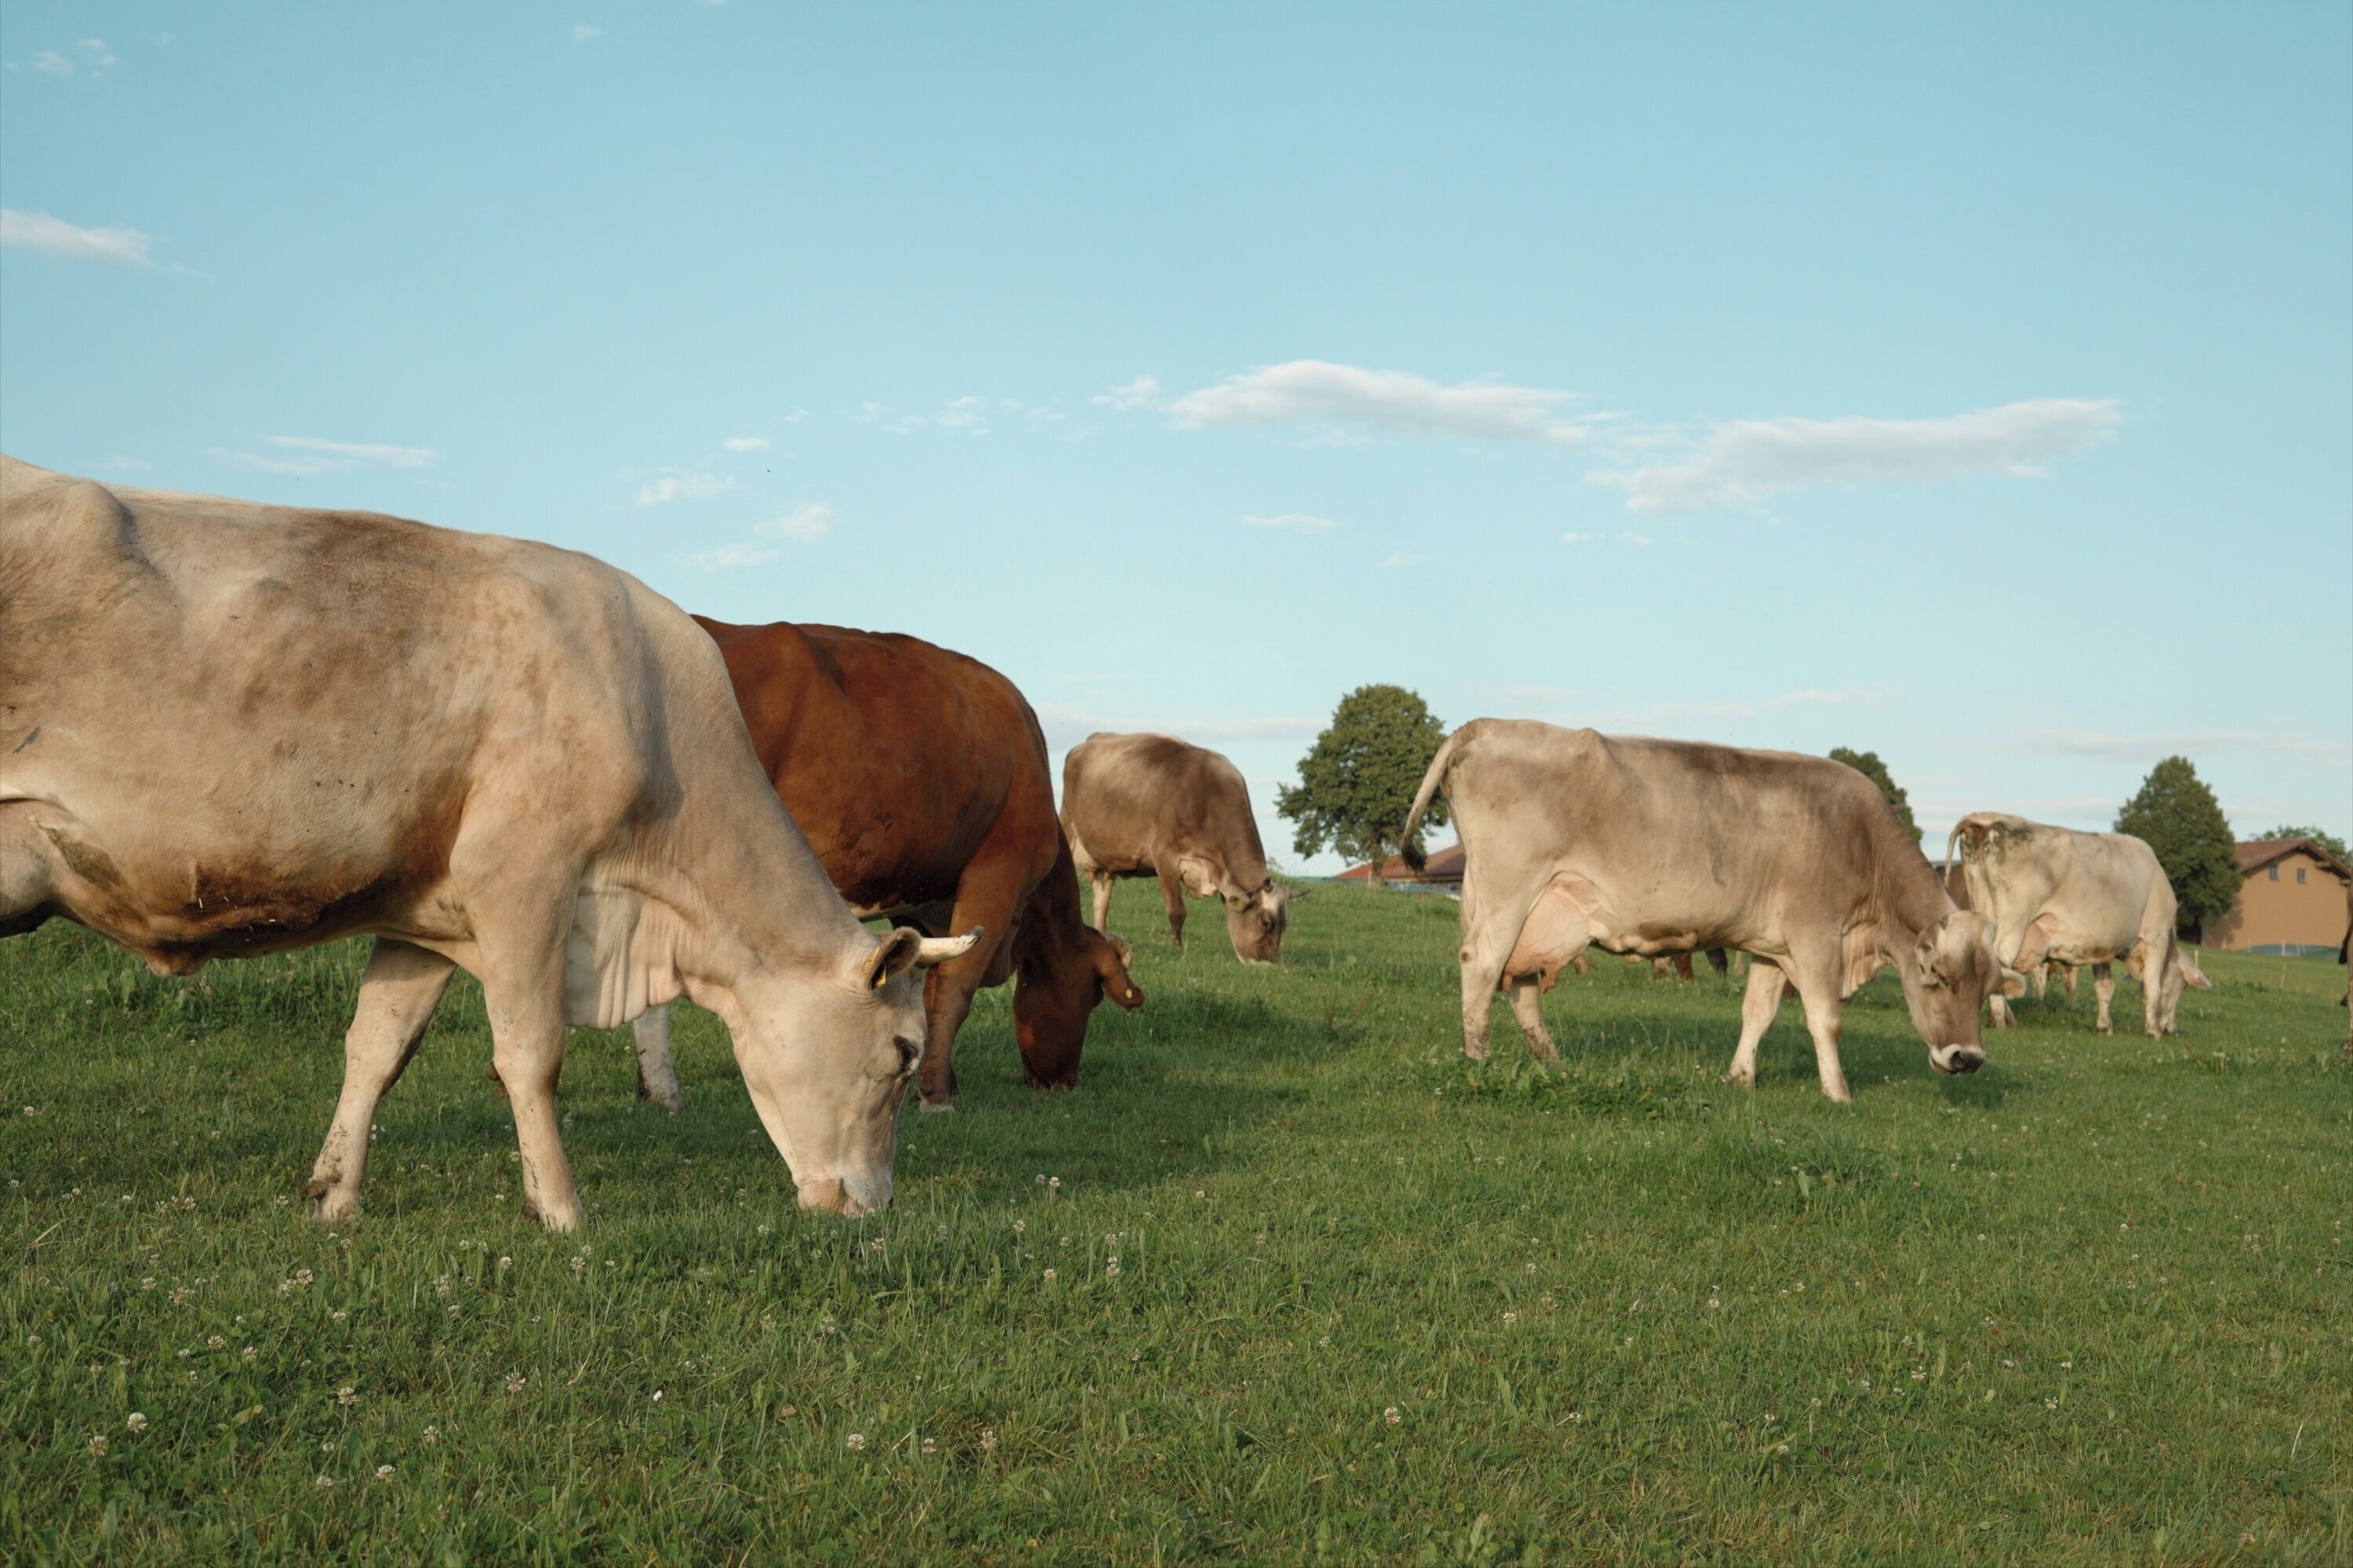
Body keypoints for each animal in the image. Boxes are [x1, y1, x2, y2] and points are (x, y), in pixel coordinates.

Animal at [0, 458, 976, 1229]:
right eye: (902, 1052)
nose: (875, 1207)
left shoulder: (424, 904)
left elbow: (378, 1046)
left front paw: (334, 1196)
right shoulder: (523, 876)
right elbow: (530, 1052)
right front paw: (562, 1211)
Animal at [627, 622, 1144, 1112]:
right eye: (1094, 995)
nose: (1063, 1081)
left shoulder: (918, 901)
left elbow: (926, 986)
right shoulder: (1000, 872)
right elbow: (955, 987)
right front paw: (936, 1094)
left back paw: (657, 1092)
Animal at [1060, 732, 1299, 965]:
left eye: (1286, 925)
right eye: (1265, 922)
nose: (1268, 963)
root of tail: (1086, 743)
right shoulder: (1165, 856)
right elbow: (1177, 912)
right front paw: (1177, 948)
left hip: (1107, 863)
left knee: (1102, 901)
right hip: (1068, 828)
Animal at [1401, 720, 2022, 1100]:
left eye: (1989, 985)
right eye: (1938, 979)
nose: (1968, 1058)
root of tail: (1490, 724)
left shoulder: (1773, 946)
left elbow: (1758, 1012)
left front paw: (1740, 1077)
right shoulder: (1816, 934)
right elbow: (1825, 1018)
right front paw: (1838, 1092)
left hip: (1538, 910)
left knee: (1521, 984)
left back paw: (1551, 1061)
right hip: (1510, 892)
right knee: (1482, 965)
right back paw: (1477, 1059)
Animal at [1944, 813, 2213, 1037]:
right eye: (2183, 987)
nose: (2171, 1029)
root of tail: (1994, 818)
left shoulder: (2103, 945)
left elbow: (2105, 988)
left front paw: (2105, 1026)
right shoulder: (2155, 938)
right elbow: (2152, 988)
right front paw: (2152, 1031)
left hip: (1983, 909)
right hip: (2013, 923)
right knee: (1998, 962)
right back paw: (1999, 1019)